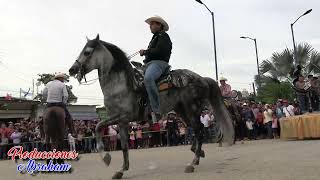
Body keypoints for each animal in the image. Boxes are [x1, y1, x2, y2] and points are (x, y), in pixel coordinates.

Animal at [69, 34, 234, 179]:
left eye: (87, 52)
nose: (72, 69)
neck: (120, 86)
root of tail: (202, 79)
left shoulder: (124, 116)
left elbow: (98, 127)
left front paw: (106, 157)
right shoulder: (121, 122)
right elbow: (124, 146)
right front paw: (121, 170)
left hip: (192, 108)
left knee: (199, 131)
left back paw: (192, 163)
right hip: (182, 110)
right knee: (196, 130)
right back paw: (198, 155)